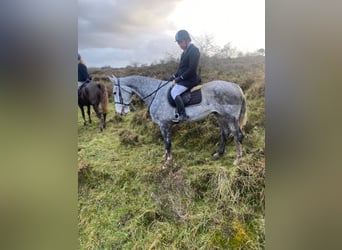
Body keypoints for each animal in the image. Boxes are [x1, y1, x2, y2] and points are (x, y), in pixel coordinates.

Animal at [108, 75, 247, 167]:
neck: (155, 94)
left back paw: (238, 159)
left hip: (231, 117)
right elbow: (166, 142)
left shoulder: (164, 124)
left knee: (237, 135)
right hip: (220, 116)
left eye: (114, 92)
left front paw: (168, 162)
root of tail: (236, 87)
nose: (120, 112)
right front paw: (166, 157)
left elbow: (167, 143)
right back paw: (219, 154)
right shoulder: (165, 125)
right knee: (225, 133)